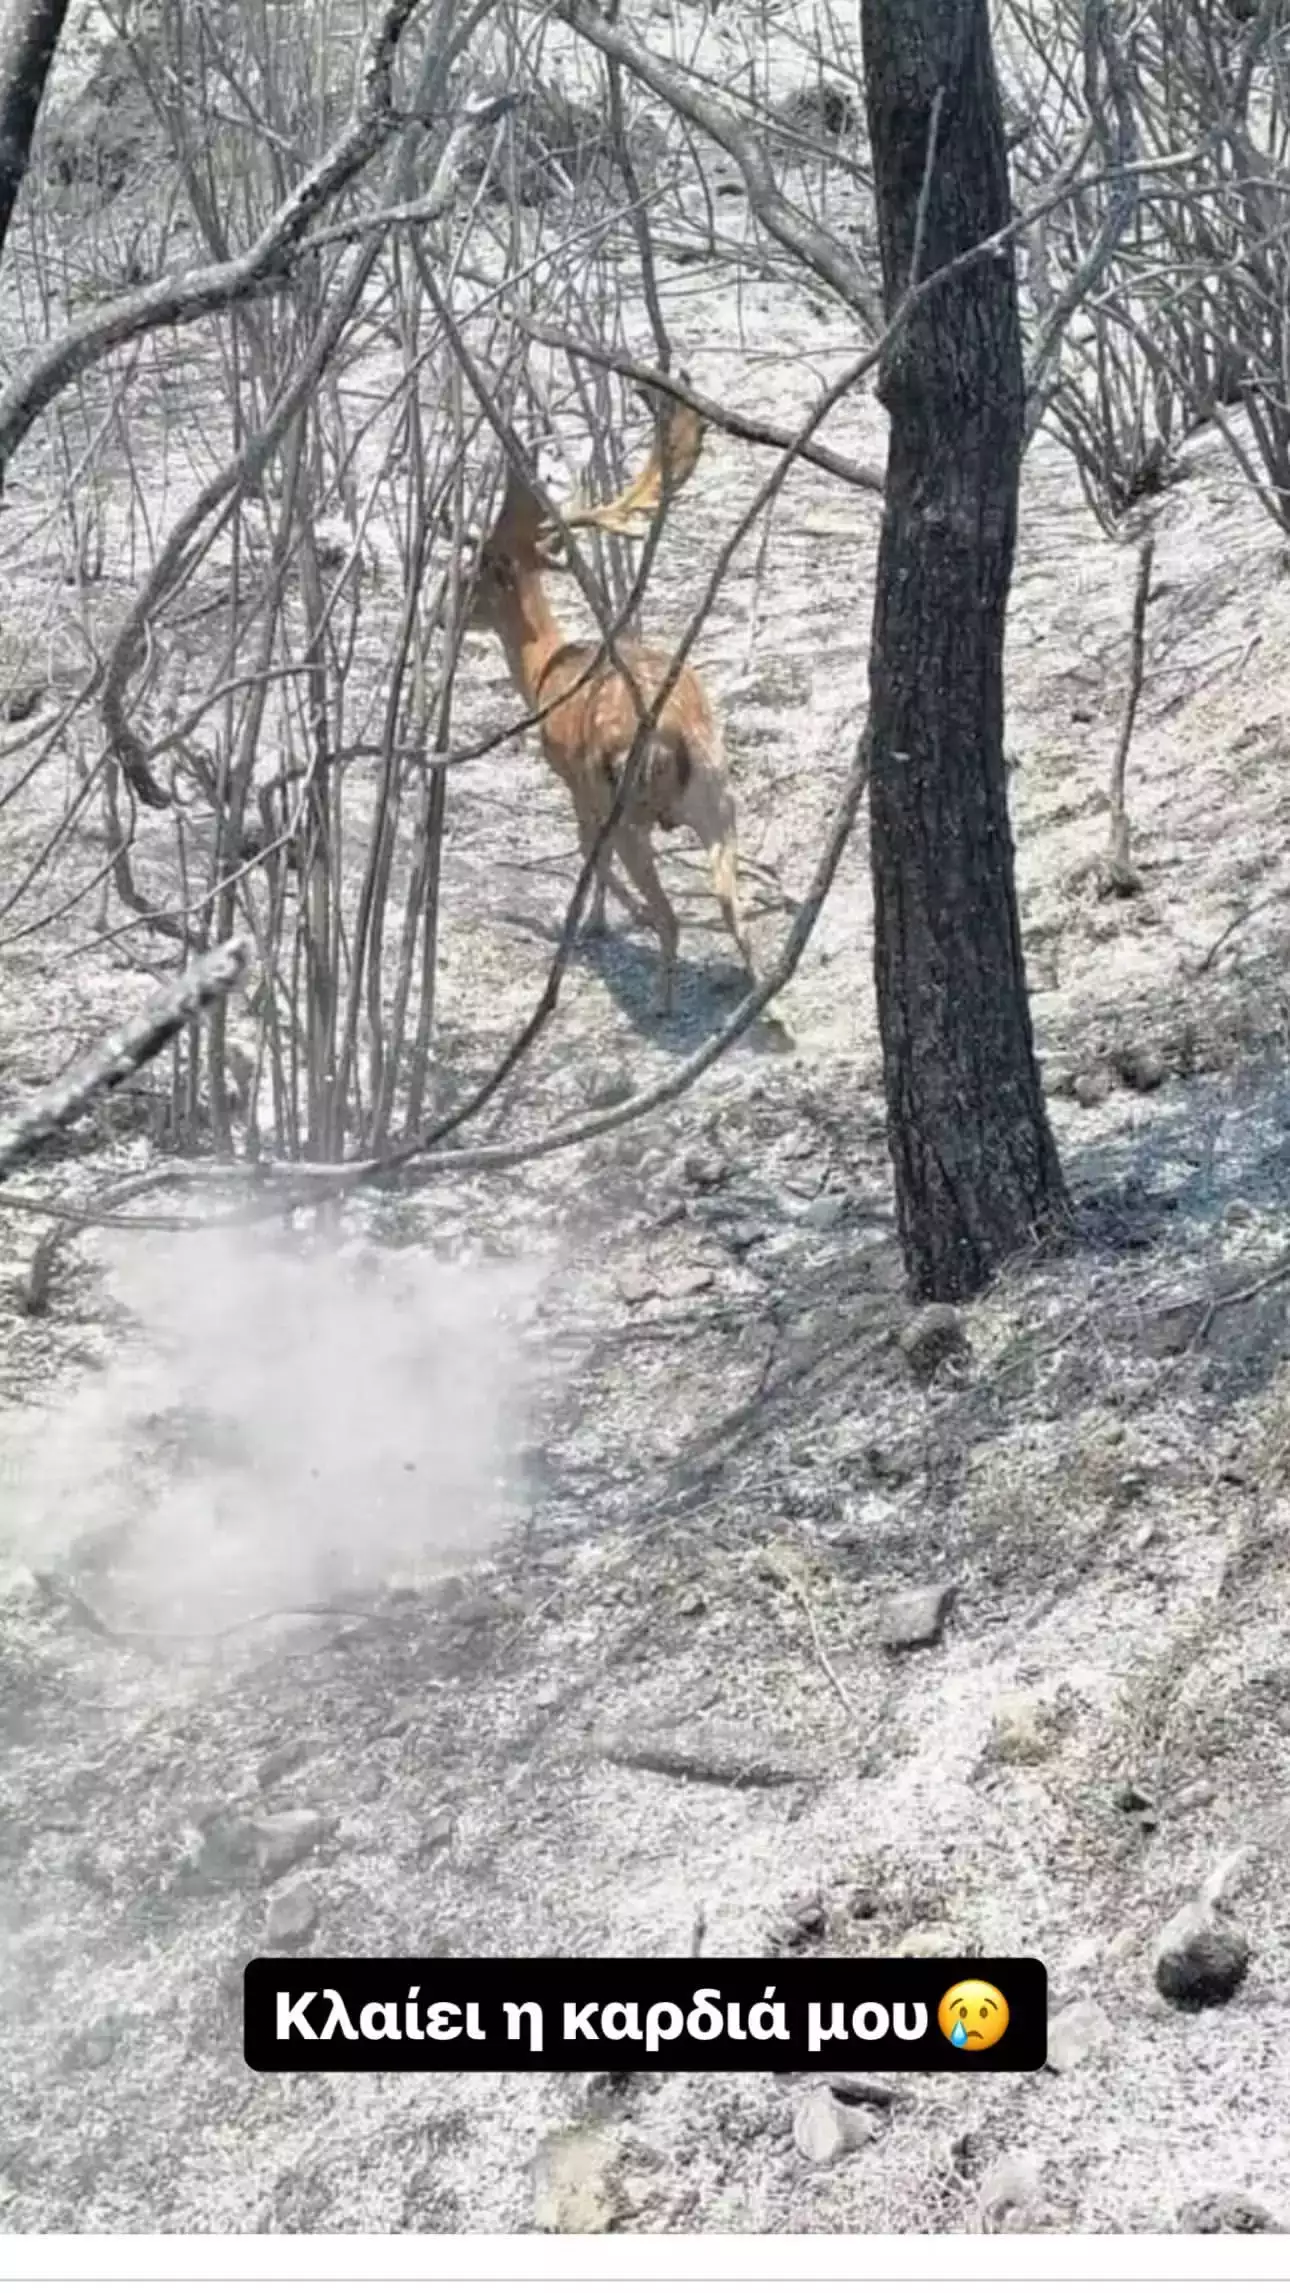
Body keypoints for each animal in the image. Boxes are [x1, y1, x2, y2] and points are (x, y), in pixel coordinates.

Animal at [458, 394, 756, 1013]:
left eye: (477, 573)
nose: (444, 606)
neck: (545, 672)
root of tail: (675, 737)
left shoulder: (575, 779)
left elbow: (582, 850)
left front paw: (596, 923)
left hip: (629, 803)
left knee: (671, 917)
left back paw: (662, 997)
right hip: (718, 794)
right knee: (734, 912)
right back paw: (761, 995)